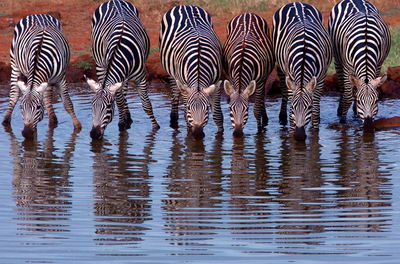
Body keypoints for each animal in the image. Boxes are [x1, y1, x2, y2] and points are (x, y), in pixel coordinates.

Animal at [86, 0, 159, 140]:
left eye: (109, 107)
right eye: (92, 105)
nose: (94, 134)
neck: (120, 51)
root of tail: (114, 1)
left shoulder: (141, 78)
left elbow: (146, 105)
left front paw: (155, 127)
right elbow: (119, 102)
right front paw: (122, 124)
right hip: (100, 65)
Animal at [159, 4, 223, 140]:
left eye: (206, 109)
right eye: (189, 108)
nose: (198, 135)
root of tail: (185, 5)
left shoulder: (216, 84)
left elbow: (218, 116)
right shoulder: (185, 87)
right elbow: (185, 115)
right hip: (172, 73)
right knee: (175, 96)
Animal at [274, 2, 332, 141]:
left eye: (309, 107)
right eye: (293, 107)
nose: (299, 136)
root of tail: (297, 3)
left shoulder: (320, 78)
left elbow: (315, 111)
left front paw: (315, 132)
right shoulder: (290, 77)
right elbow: (291, 111)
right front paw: (291, 131)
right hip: (280, 65)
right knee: (283, 90)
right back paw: (282, 118)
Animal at [328, 0, 390, 131]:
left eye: (376, 100)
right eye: (360, 101)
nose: (368, 126)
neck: (365, 45)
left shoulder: (378, 64)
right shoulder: (347, 68)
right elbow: (347, 97)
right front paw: (342, 121)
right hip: (338, 59)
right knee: (342, 87)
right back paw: (340, 110)